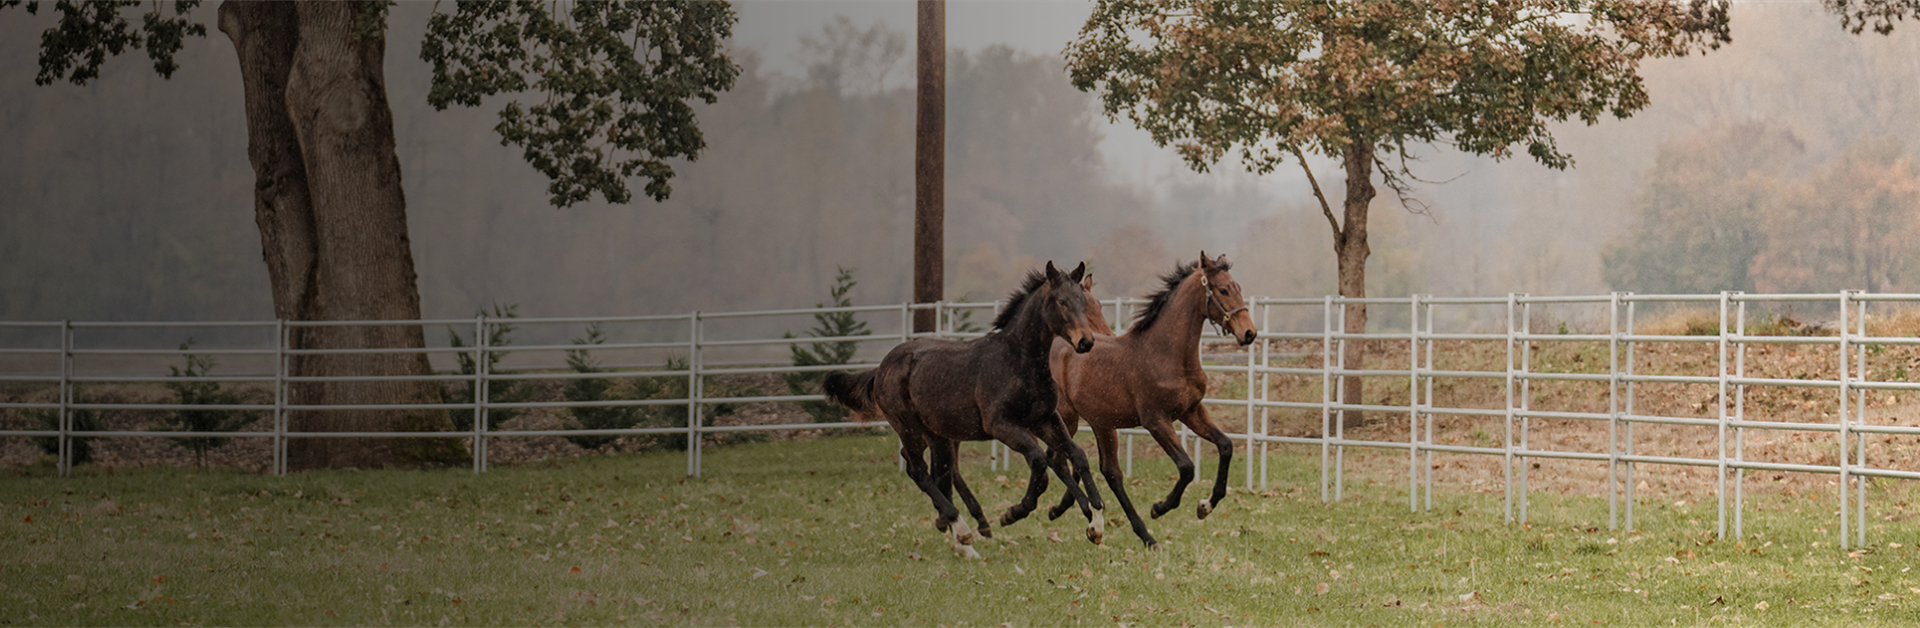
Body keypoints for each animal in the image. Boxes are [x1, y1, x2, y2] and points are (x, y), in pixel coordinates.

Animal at [823, 261, 1108, 557]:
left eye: (1082, 300)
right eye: (1061, 301)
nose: (1086, 341)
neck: (1018, 362)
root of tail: (881, 367)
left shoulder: (1044, 419)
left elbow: (1076, 456)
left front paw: (1096, 524)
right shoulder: (1001, 425)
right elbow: (1040, 462)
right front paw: (1013, 513)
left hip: (937, 434)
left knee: (939, 472)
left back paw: (961, 540)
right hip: (908, 426)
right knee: (919, 470)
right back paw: (961, 529)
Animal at [1045, 252, 1258, 548]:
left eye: (1237, 287)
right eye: (1223, 290)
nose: (1249, 333)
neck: (1167, 354)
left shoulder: (1191, 411)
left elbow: (1226, 446)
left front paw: (1205, 506)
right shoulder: (1155, 420)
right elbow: (1187, 467)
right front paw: (1160, 508)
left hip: (1101, 423)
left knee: (1105, 470)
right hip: (1067, 418)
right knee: (1060, 460)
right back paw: (1092, 520)